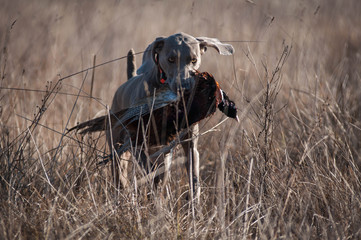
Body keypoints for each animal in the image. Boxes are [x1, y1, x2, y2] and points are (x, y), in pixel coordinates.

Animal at [107, 32, 233, 201]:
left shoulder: (190, 145)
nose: (184, 87)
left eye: (194, 60)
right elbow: (153, 174)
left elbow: (193, 177)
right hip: (119, 147)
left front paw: (194, 203)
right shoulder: (140, 146)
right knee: (121, 173)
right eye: (171, 59)